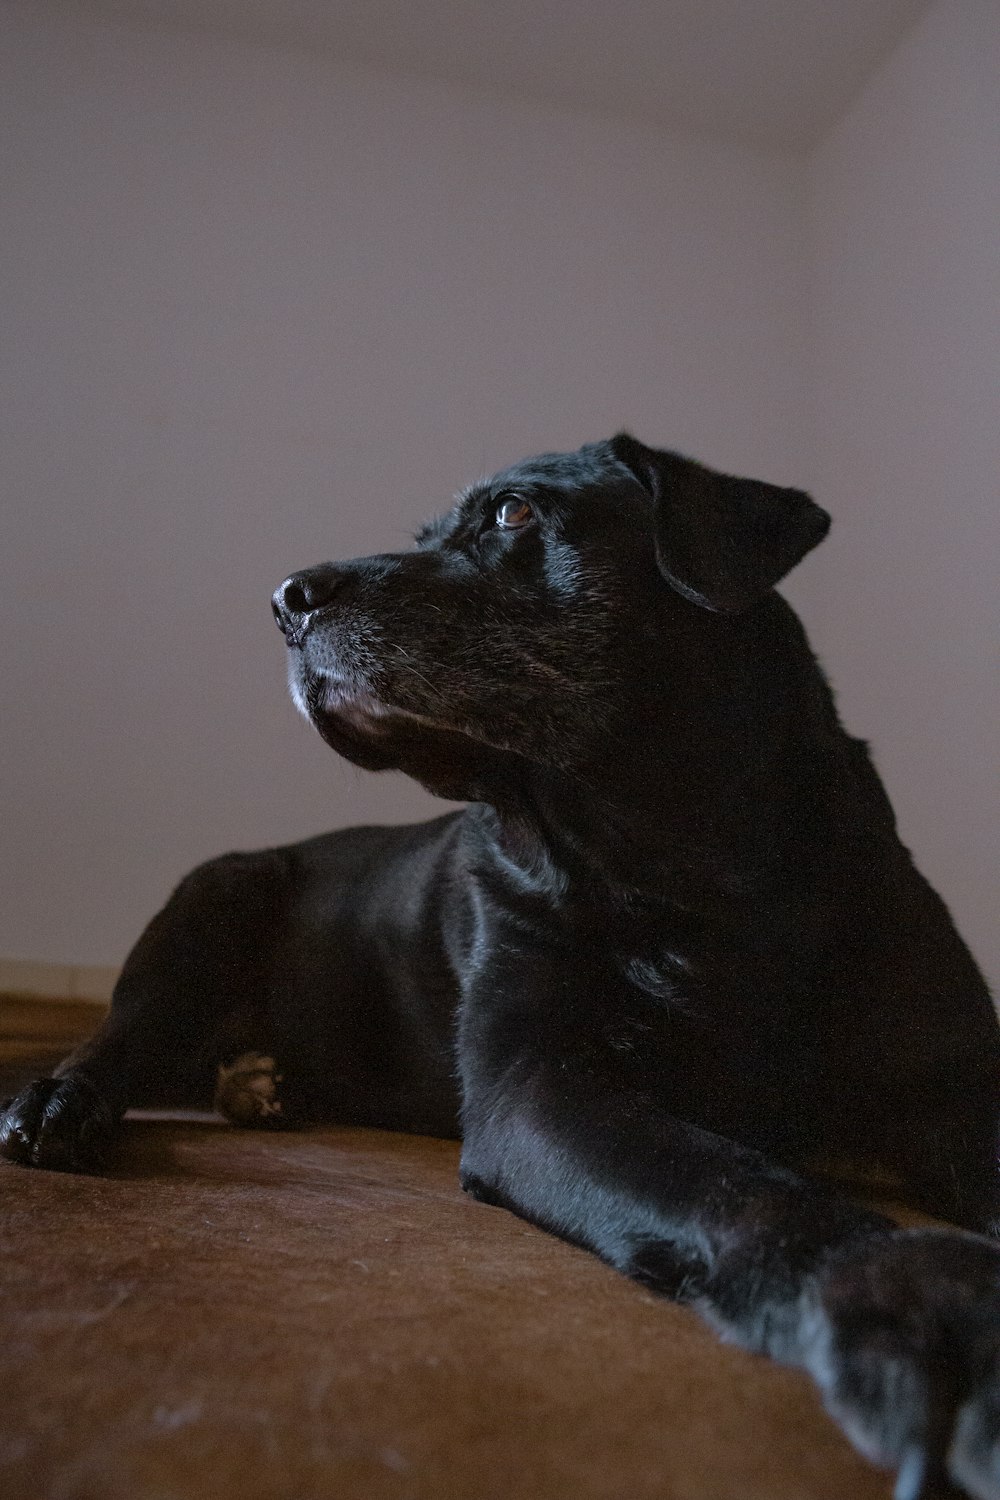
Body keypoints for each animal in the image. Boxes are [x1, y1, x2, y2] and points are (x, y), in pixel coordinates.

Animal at [1, 438, 1000, 1500]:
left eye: (515, 513)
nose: (284, 599)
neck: (690, 872)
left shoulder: (957, 1082)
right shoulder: (539, 1085)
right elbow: (737, 1180)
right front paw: (920, 1311)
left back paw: (261, 1086)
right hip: (211, 896)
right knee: (117, 1037)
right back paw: (65, 1103)